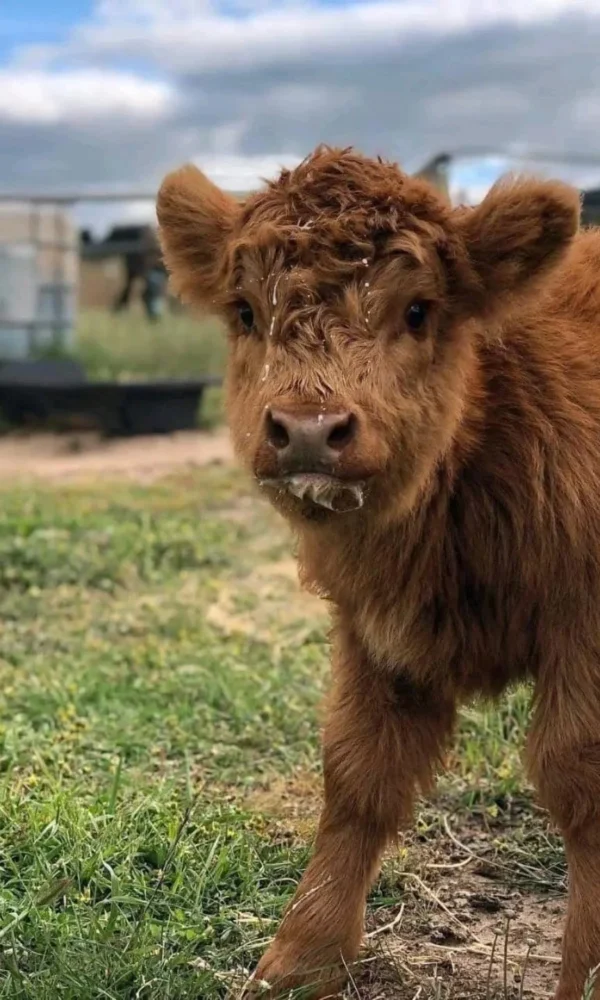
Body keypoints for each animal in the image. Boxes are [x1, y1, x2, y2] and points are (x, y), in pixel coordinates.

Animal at [157, 145, 600, 1000]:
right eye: (245, 312)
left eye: (420, 310)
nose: (307, 429)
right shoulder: (377, 633)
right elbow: (358, 774)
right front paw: (298, 962)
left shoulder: (585, 634)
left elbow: (578, 777)